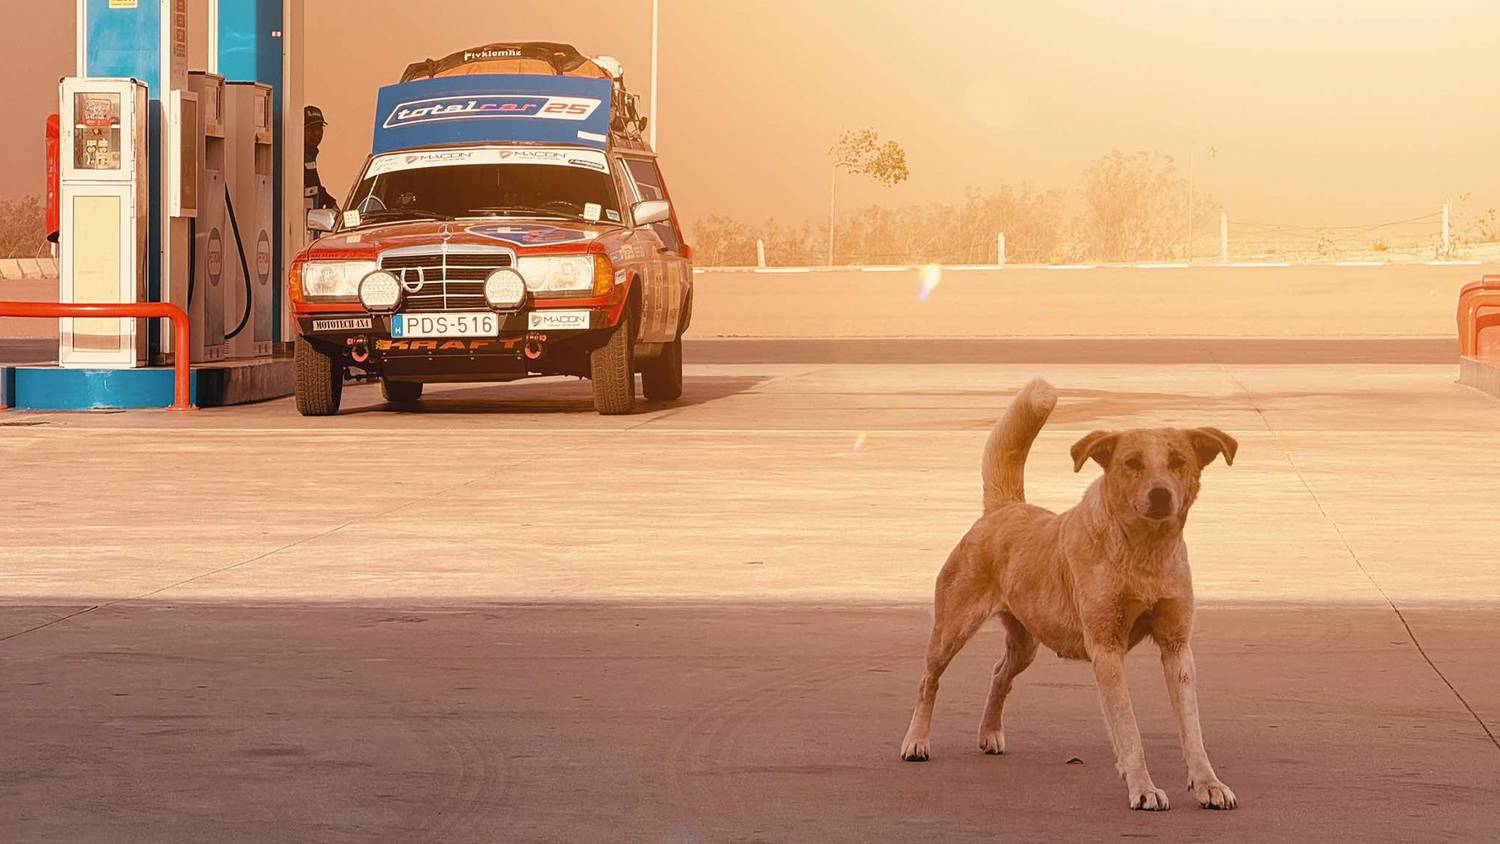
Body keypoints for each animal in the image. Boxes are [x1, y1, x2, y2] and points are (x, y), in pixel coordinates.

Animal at [894, 377, 1236, 809]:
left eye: (1178, 461)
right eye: (1132, 462)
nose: (1161, 495)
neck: (1143, 553)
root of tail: (1003, 508)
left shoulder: (1177, 646)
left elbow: (1192, 729)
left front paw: (1209, 784)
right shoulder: (1106, 649)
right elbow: (1129, 728)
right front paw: (1143, 788)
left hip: (1026, 642)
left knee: (999, 673)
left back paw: (989, 733)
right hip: (952, 627)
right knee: (929, 680)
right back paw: (916, 741)